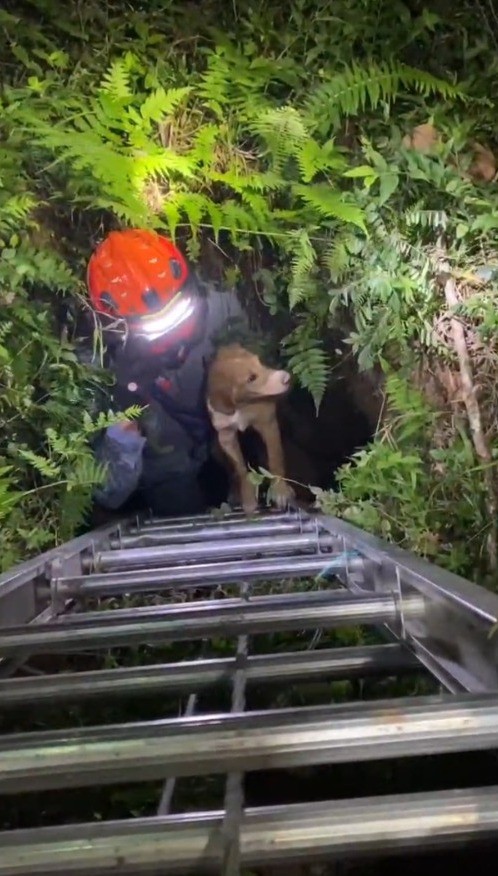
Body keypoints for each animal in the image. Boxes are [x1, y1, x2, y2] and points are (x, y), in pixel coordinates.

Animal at [205, 342, 294, 512]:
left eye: (260, 362)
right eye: (251, 378)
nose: (286, 378)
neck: (240, 405)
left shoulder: (268, 424)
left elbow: (275, 460)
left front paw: (280, 490)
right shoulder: (226, 437)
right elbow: (239, 469)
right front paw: (247, 497)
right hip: (216, 450)